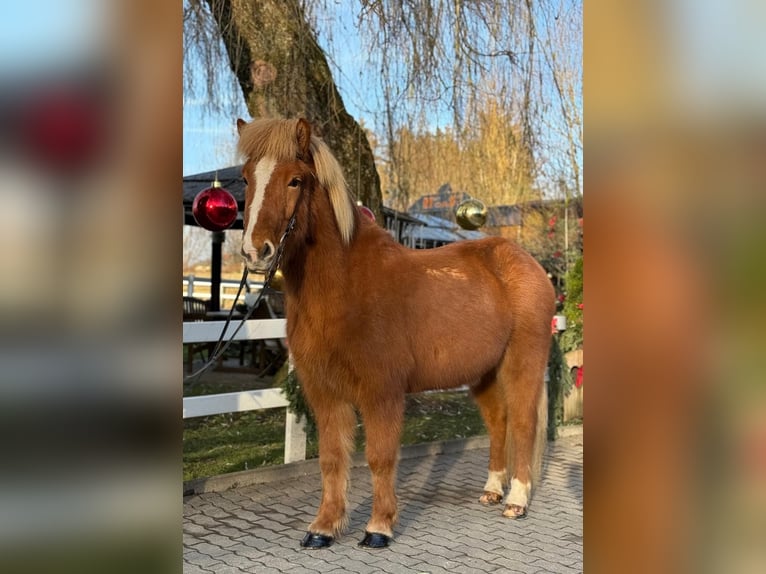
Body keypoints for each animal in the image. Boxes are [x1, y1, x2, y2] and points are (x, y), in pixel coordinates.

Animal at [237, 118, 556, 552]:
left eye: (295, 181)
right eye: (245, 177)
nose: (256, 252)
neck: (346, 287)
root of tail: (528, 262)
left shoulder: (382, 392)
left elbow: (379, 457)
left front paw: (378, 528)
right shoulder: (325, 392)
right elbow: (332, 459)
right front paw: (323, 528)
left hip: (522, 364)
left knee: (522, 423)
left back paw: (517, 500)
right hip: (484, 374)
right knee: (498, 422)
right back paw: (492, 491)